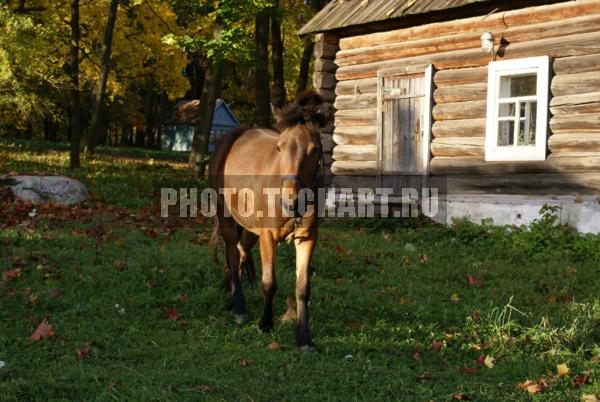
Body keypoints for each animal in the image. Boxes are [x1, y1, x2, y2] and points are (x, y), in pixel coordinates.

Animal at [209, 89, 332, 350]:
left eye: (315, 149)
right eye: (279, 147)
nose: (291, 201)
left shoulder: (308, 238)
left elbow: (303, 287)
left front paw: (304, 338)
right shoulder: (268, 236)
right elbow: (269, 282)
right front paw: (265, 323)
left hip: (249, 227)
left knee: (240, 253)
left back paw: (232, 300)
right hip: (226, 215)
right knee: (232, 254)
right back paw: (240, 308)